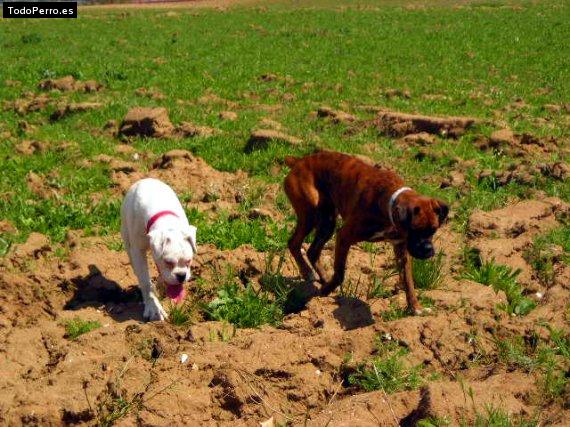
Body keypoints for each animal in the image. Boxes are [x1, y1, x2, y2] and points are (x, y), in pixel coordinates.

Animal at [120, 177, 197, 320]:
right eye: (168, 262)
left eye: (189, 261)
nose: (181, 276)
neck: (168, 223)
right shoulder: (138, 251)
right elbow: (145, 281)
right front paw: (154, 308)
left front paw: (161, 287)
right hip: (126, 236)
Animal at [282, 150, 446, 314]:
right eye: (415, 230)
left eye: (434, 229)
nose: (428, 250)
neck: (387, 202)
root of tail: (299, 161)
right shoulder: (344, 236)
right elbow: (340, 273)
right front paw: (325, 292)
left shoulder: (401, 249)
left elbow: (409, 281)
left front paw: (415, 307)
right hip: (310, 215)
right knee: (294, 243)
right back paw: (308, 273)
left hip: (327, 223)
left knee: (312, 251)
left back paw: (323, 278)